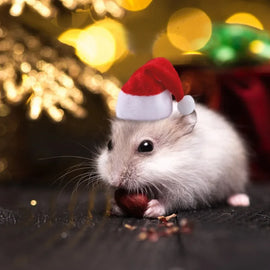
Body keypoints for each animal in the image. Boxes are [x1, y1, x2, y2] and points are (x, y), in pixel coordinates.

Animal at [96, 102, 250, 218]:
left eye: (146, 146)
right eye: (109, 144)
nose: (114, 181)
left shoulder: (188, 188)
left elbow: (169, 201)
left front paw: (151, 209)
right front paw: (116, 207)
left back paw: (240, 201)